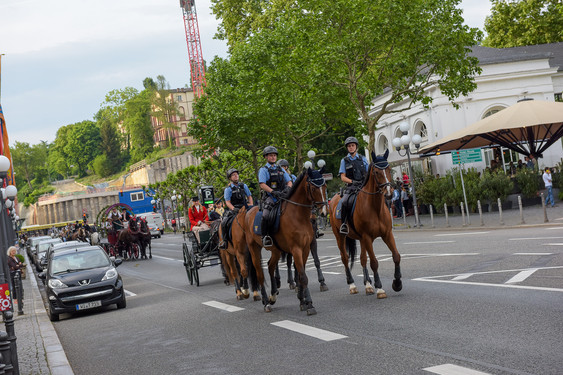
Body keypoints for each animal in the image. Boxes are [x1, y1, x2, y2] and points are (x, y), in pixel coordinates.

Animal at [245, 167, 328, 314]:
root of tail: (249, 211)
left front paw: (302, 300)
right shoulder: (296, 249)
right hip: (254, 248)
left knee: (270, 266)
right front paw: (309, 304)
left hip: (276, 250)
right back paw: (266, 302)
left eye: (324, 186)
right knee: (260, 274)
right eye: (313, 188)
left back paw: (273, 296)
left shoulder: (305, 248)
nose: (323, 212)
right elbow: (303, 276)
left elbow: (300, 274)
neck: (298, 215)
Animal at [328, 151, 404, 300]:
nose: (389, 193)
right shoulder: (368, 237)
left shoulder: (387, 234)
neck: (375, 208)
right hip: (340, 236)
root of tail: (333, 198)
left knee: (362, 259)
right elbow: (374, 262)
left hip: (361, 239)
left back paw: (368, 285)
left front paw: (397, 283)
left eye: (388, 169)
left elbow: (396, 256)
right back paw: (352, 285)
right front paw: (380, 288)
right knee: (345, 258)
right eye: (376, 171)